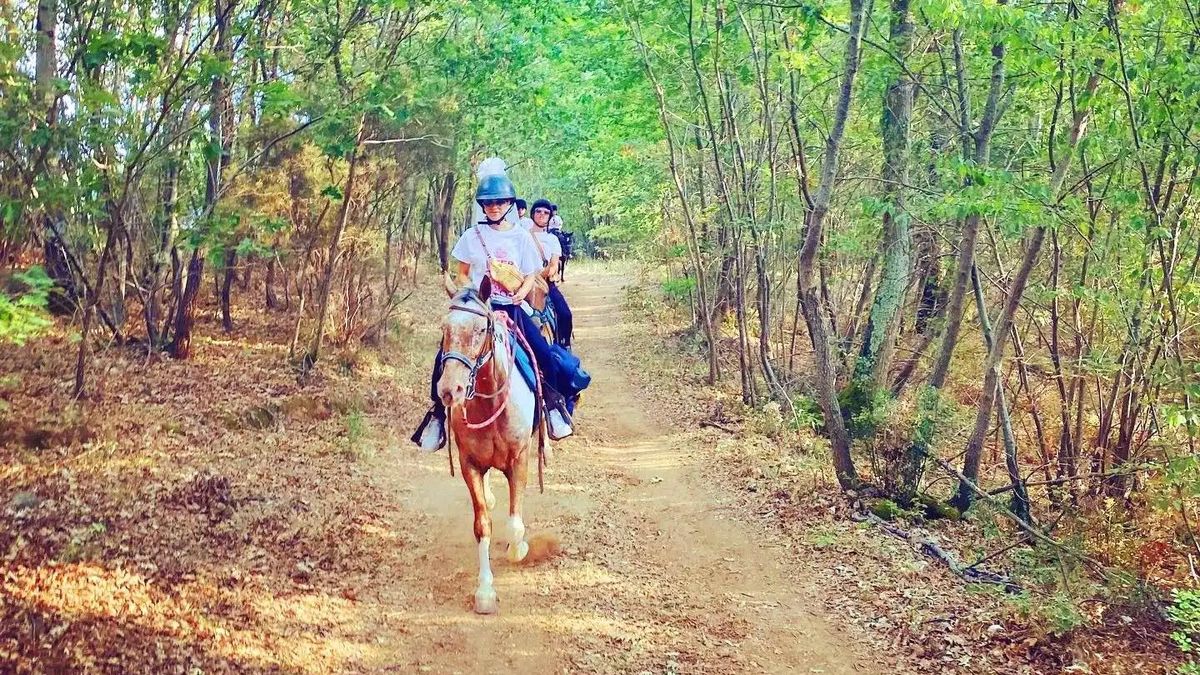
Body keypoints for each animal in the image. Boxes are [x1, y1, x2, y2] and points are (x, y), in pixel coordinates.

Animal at [437, 276, 537, 614]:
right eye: (444, 328)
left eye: (481, 329)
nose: (449, 389)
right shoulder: (470, 464)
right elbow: (483, 525)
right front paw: (484, 592)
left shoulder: (519, 459)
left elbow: (515, 525)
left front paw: (518, 549)